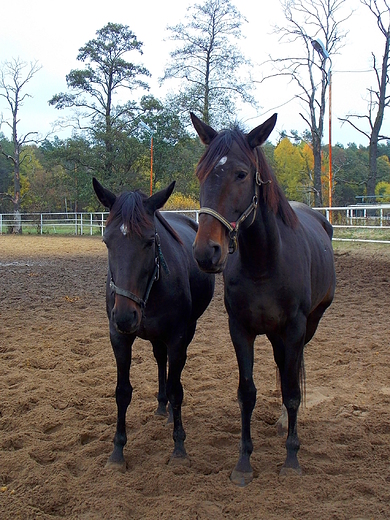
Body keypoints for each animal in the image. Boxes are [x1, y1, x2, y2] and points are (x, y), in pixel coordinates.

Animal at [93, 178, 215, 472]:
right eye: (107, 241)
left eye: (149, 241)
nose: (125, 316)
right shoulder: (119, 338)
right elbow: (123, 392)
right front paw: (117, 451)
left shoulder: (178, 337)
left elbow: (176, 388)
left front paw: (179, 447)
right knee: (161, 360)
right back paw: (162, 407)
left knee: (172, 371)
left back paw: (169, 411)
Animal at [190, 111, 336, 486]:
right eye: (201, 173)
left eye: (242, 173)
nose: (206, 252)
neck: (264, 262)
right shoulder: (240, 329)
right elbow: (247, 393)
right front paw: (244, 462)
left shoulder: (295, 328)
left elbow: (293, 391)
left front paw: (292, 460)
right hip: (274, 333)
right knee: (282, 367)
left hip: (308, 326)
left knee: (292, 371)